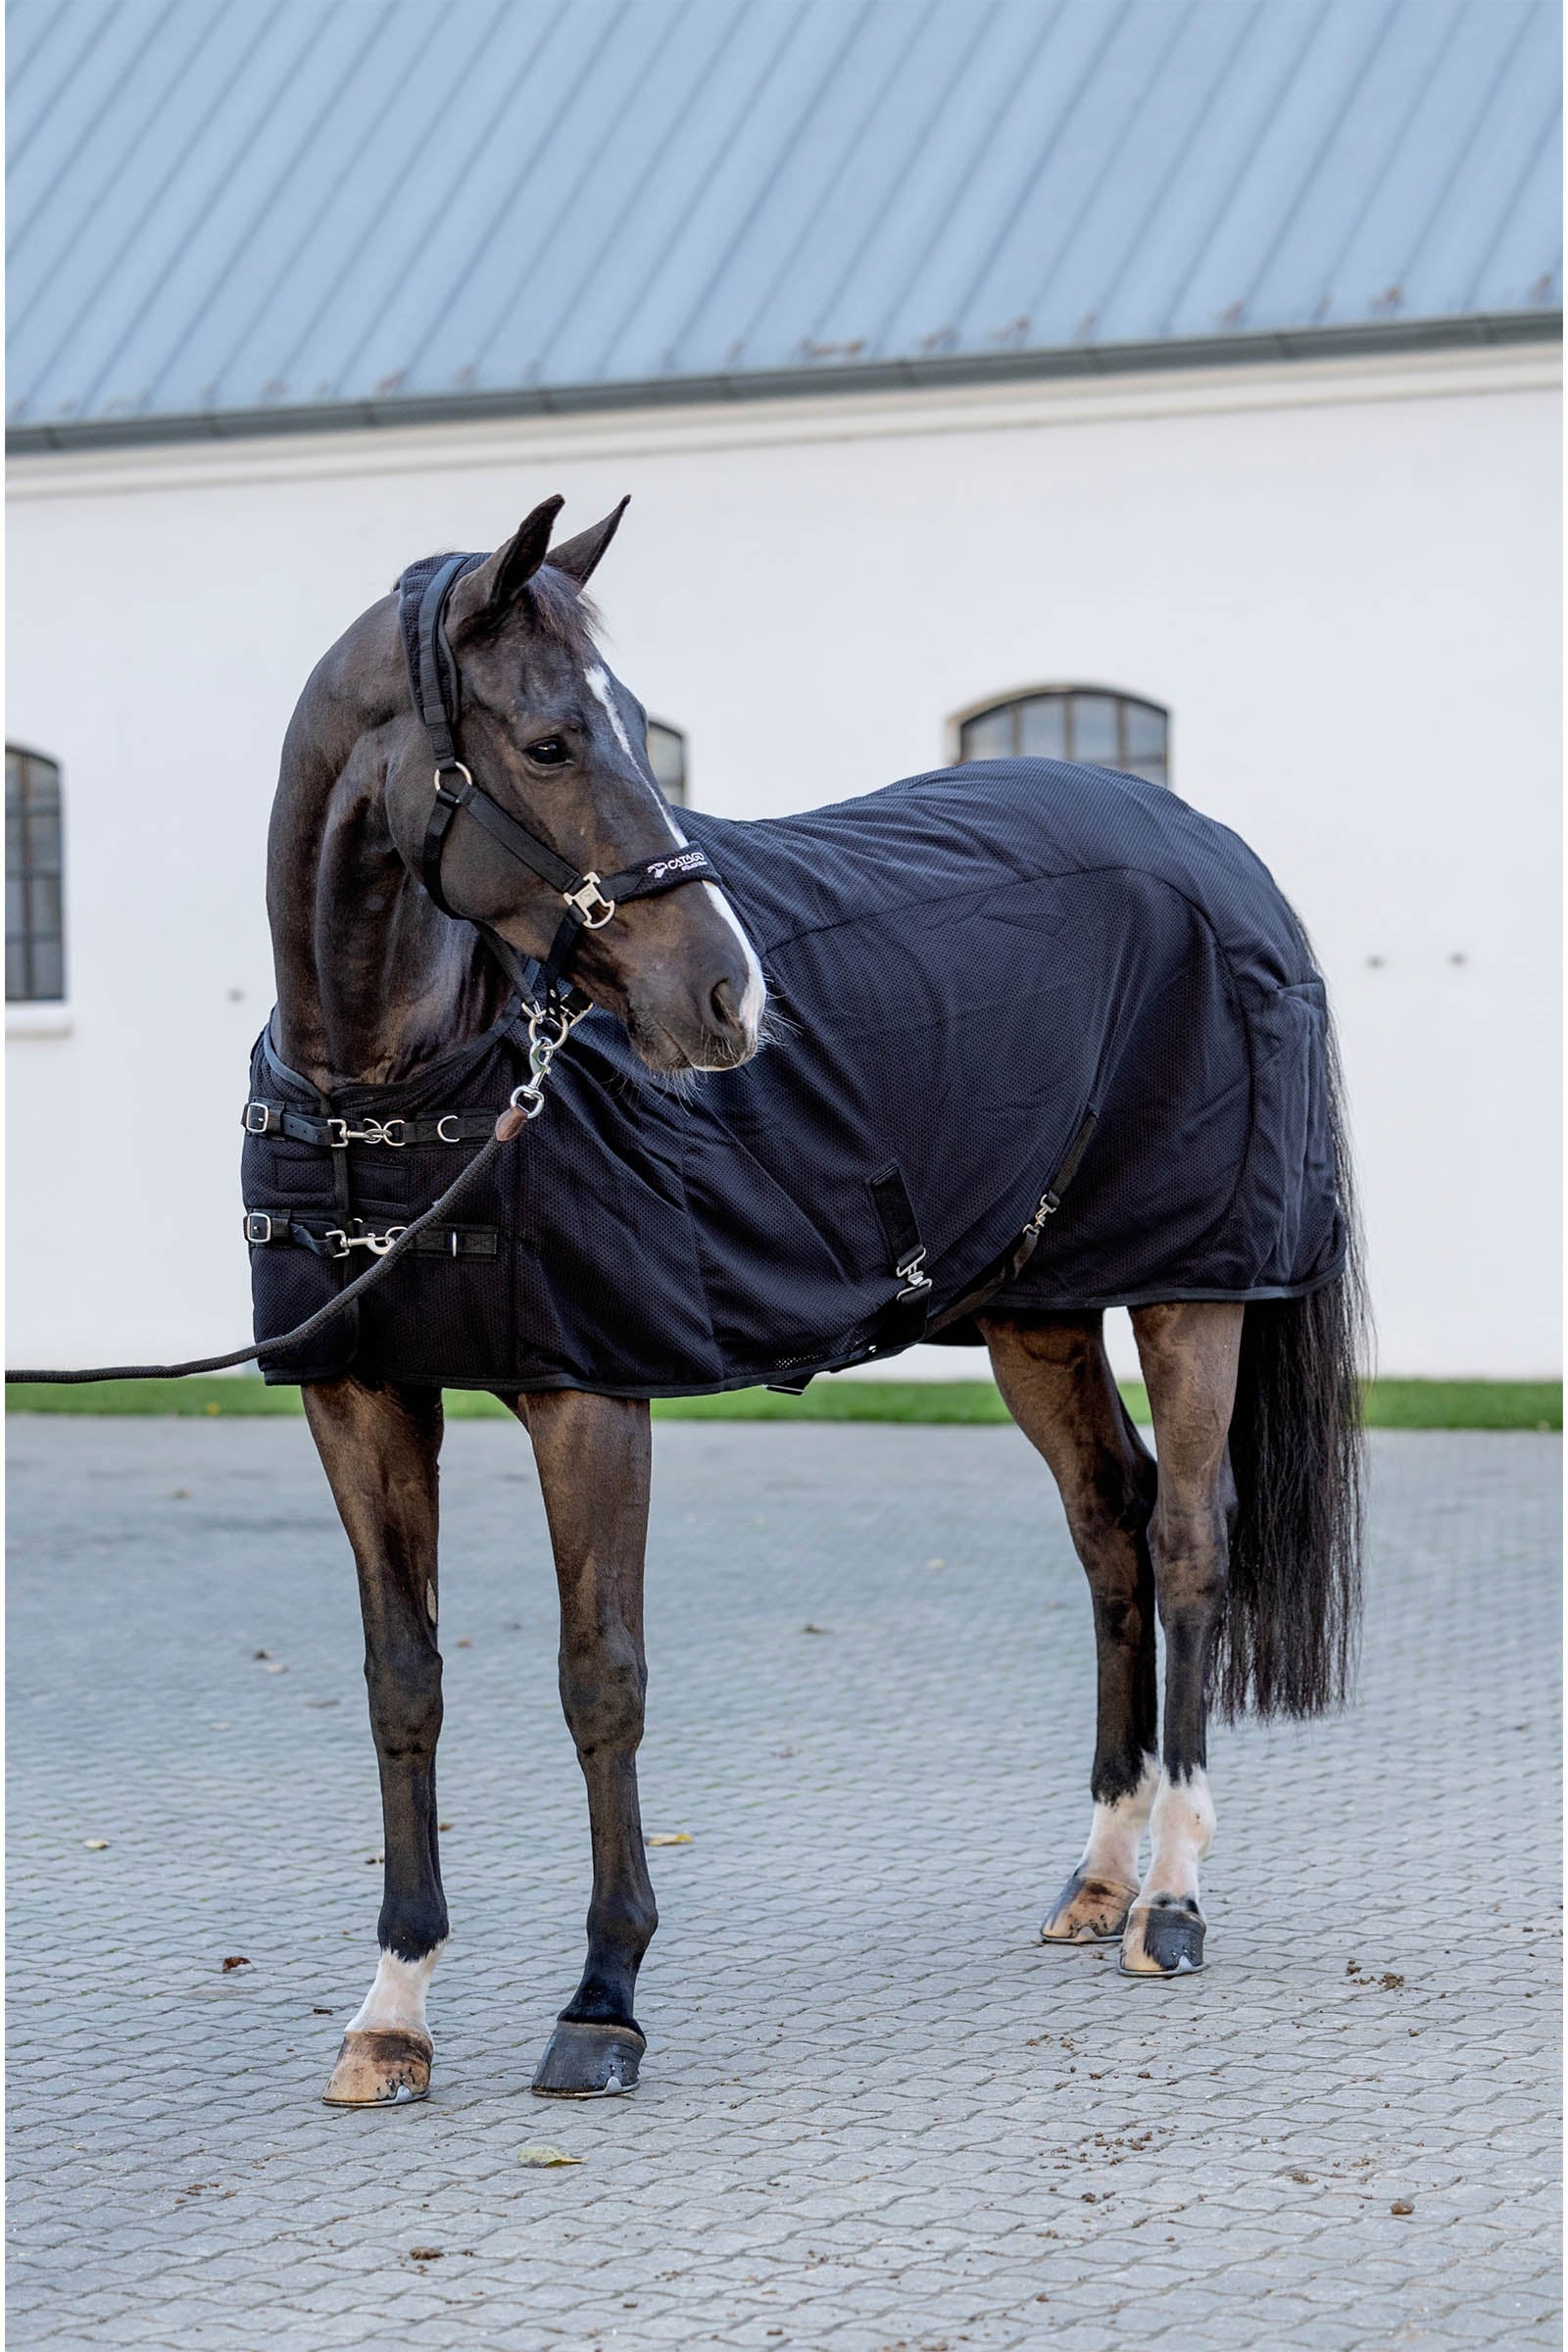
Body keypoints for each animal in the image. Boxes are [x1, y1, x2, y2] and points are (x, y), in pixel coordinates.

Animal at [257, 496, 1364, 2107]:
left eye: (639, 732)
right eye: (549, 743)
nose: (731, 999)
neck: (388, 1103)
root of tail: (1215, 845)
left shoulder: (590, 1398)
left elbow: (601, 1679)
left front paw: (603, 2000)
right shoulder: (360, 1397)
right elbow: (403, 1683)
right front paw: (392, 2005)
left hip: (1190, 1289)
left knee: (1187, 1541)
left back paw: (1171, 1897)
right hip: (1038, 1311)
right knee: (1108, 1529)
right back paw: (1098, 1877)